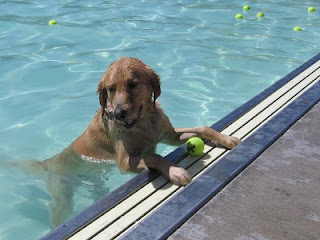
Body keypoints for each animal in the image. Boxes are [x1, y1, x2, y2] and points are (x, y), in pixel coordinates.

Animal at [21, 57, 240, 228]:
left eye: (133, 84)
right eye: (110, 89)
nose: (118, 113)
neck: (143, 123)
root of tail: (49, 161)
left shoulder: (169, 136)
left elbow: (202, 128)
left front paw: (226, 138)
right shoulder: (124, 162)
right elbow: (153, 155)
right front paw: (175, 171)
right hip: (62, 195)